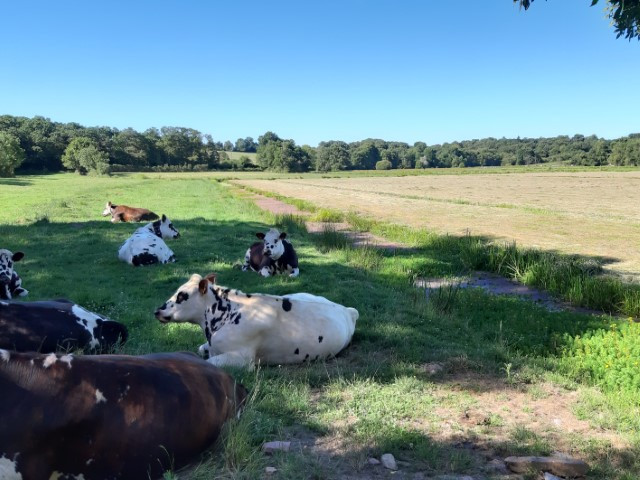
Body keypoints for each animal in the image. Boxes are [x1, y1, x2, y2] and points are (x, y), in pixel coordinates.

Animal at [153, 274, 358, 368]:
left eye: (182, 296)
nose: (157, 310)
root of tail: (347, 310)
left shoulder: (242, 358)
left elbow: (208, 363)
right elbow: (200, 350)